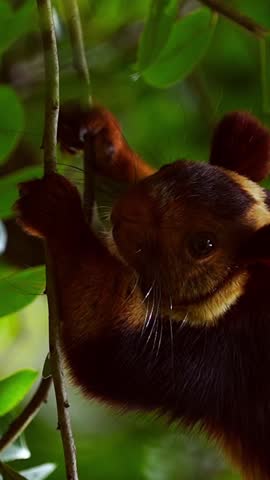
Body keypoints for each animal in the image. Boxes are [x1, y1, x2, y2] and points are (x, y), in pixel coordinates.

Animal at [14, 103, 270, 478]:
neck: (255, 287)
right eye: (168, 167)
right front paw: (102, 136)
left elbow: (111, 351)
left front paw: (60, 215)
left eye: (203, 244)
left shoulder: (231, 361)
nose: (130, 210)